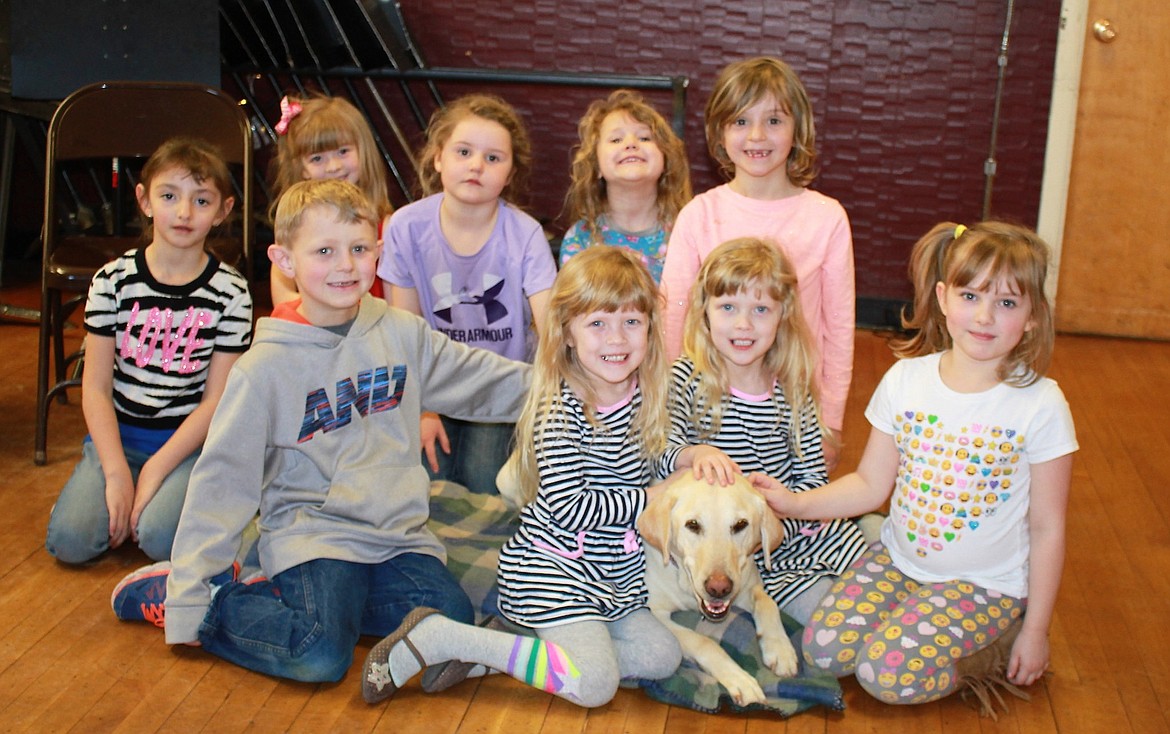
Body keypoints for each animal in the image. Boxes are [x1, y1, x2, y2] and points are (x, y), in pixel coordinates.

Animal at [641, 472, 795, 702]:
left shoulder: (750, 585)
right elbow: (702, 641)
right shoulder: (655, 612)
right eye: (692, 525)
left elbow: (768, 603)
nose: (719, 588)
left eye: (740, 524)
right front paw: (740, 678)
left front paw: (781, 649)